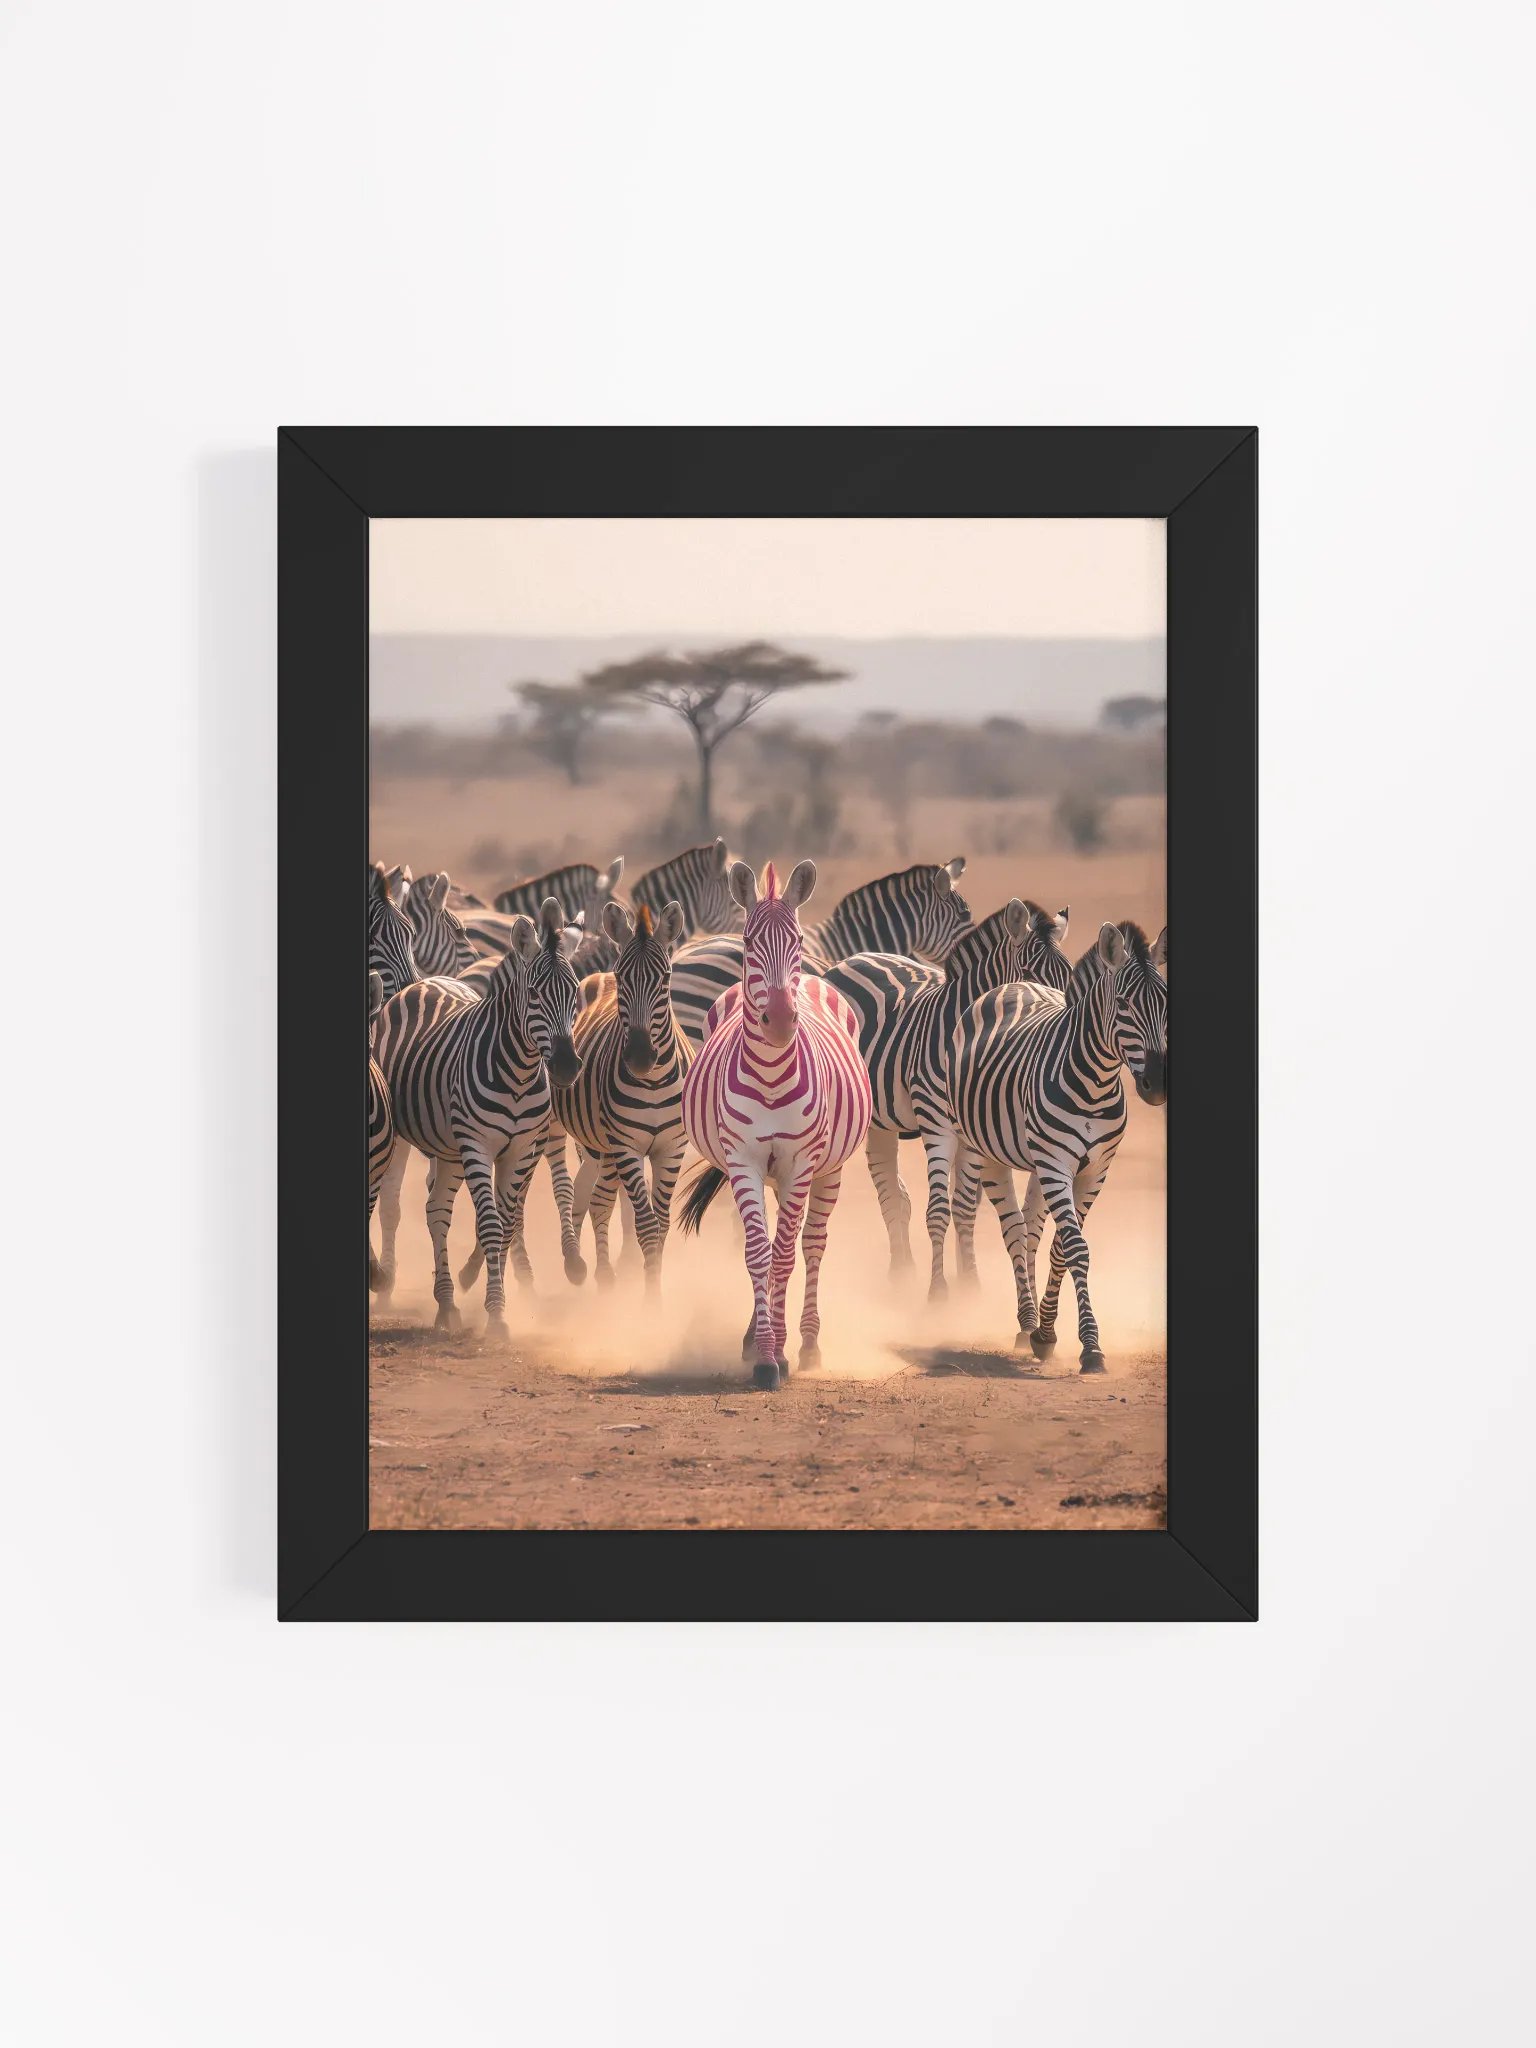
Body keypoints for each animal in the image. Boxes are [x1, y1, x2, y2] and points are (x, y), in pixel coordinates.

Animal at [371, 900, 584, 1334]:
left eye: (574, 992)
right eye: (534, 993)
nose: (567, 1067)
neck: (519, 1071)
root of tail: (423, 981)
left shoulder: (520, 1148)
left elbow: (505, 1223)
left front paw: (492, 1301)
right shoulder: (479, 1145)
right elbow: (489, 1224)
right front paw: (498, 1315)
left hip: (450, 1148)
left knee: (436, 1209)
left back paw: (446, 1303)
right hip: (407, 1138)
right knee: (394, 1203)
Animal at [551, 899, 692, 1294]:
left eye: (665, 979)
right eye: (625, 977)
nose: (641, 1058)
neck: (653, 1082)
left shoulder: (670, 1148)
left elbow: (661, 1224)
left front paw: (650, 1290)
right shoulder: (627, 1145)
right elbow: (646, 1225)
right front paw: (648, 1302)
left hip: (601, 1146)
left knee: (595, 1196)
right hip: (570, 1132)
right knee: (581, 1194)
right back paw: (584, 1268)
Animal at [679, 860, 873, 1390]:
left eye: (798, 942)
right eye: (748, 943)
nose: (783, 1021)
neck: (769, 1075)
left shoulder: (800, 1160)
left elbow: (784, 1255)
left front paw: (781, 1354)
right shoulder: (743, 1158)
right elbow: (757, 1254)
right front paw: (764, 1354)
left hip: (826, 1170)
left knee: (812, 1243)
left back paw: (807, 1344)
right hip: (766, 1172)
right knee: (767, 1242)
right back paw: (755, 1337)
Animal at [824, 901, 1072, 1294]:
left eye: (1069, 974)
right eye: (1029, 973)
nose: (1058, 1025)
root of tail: (849, 960)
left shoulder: (971, 1131)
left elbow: (965, 1208)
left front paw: (969, 1283)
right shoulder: (936, 1121)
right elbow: (939, 1209)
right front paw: (939, 1289)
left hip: (882, 1120)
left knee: (891, 1188)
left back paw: (902, 1270)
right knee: (887, 1189)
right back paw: (901, 1275)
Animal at [945, 921, 1168, 1371]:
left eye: (1166, 1001)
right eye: (1123, 1004)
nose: (1156, 1086)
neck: (1096, 1084)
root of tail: (1016, 983)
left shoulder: (1095, 1169)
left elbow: (1062, 1247)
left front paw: (1048, 1332)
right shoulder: (1056, 1162)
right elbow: (1076, 1247)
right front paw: (1089, 1346)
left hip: (1035, 1161)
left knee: (1031, 1227)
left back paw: (1028, 1325)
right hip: (983, 1149)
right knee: (1012, 1229)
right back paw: (1024, 1317)